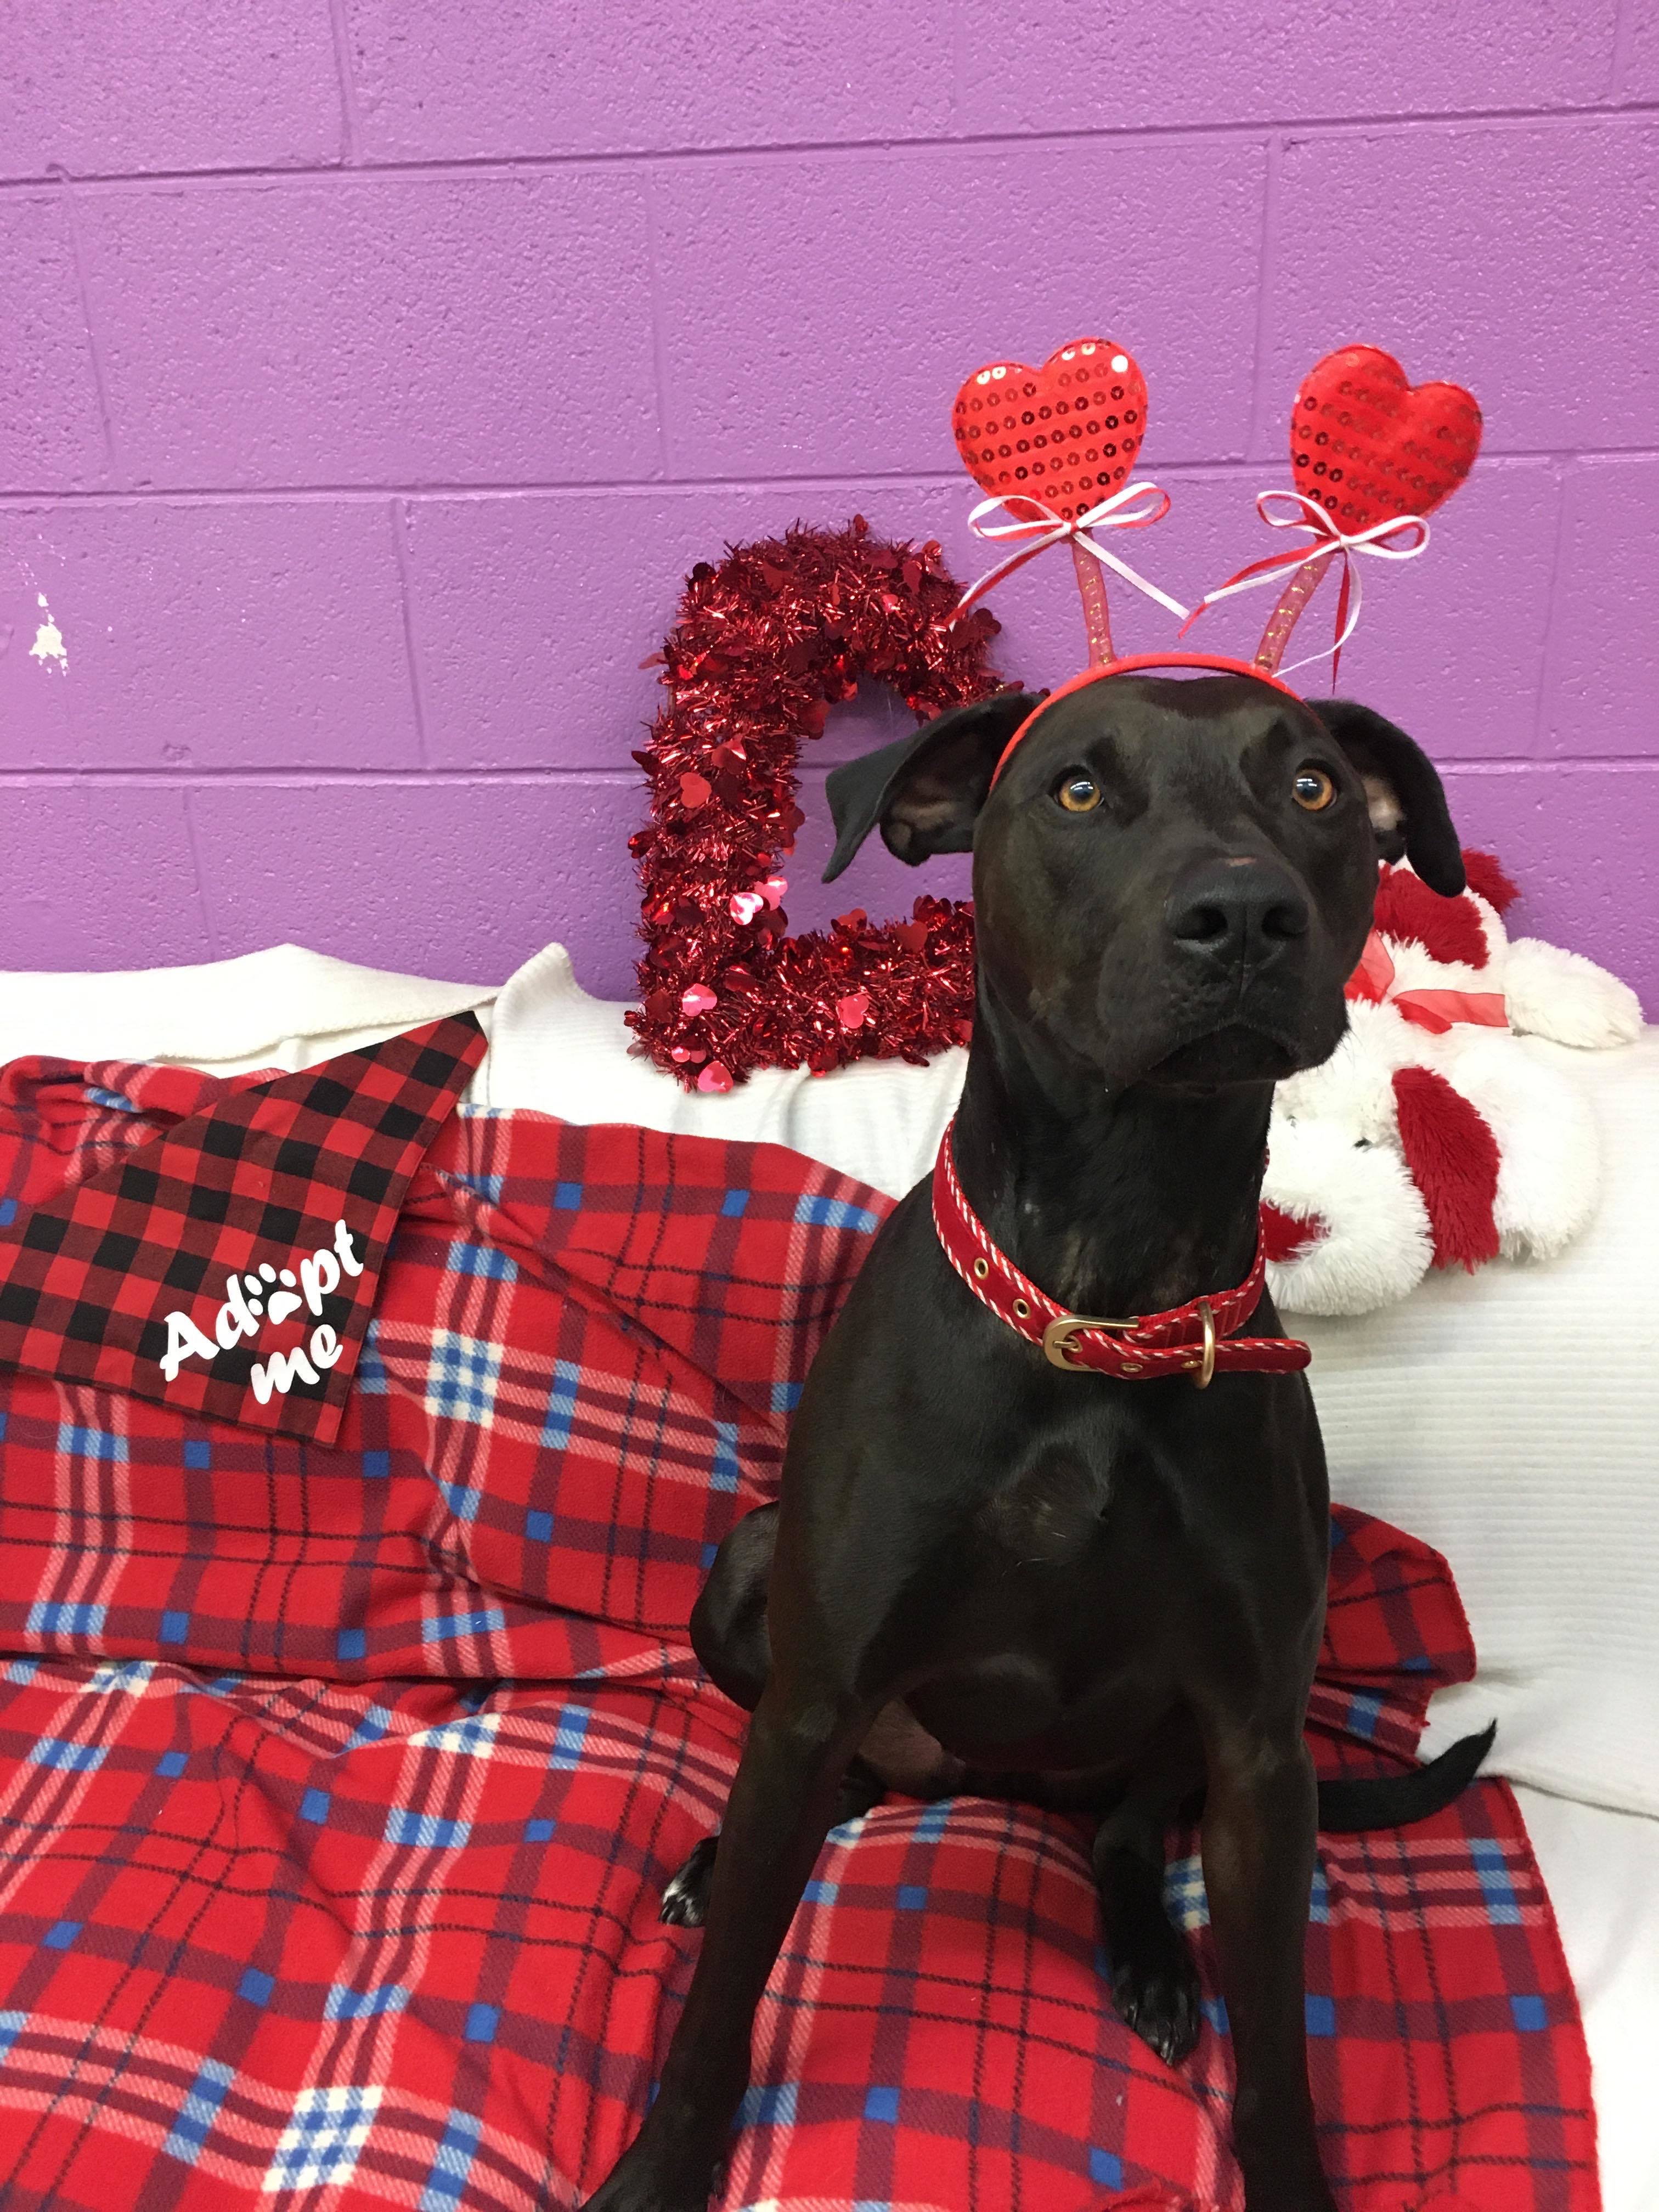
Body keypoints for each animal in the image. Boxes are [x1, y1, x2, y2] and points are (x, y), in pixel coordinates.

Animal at [592, 672, 1495, 2212]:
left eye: (1313, 788)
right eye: (1077, 790)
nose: (1244, 913)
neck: (1105, 1297)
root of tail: (994, 1784)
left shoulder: (1261, 1743)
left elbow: (1278, 2051)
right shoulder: (817, 1690)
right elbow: (721, 2002)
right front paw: (663, 2168)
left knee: (1125, 1831)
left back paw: (1148, 1956)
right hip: (751, 1581)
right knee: (837, 1786)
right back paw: (720, 1865)